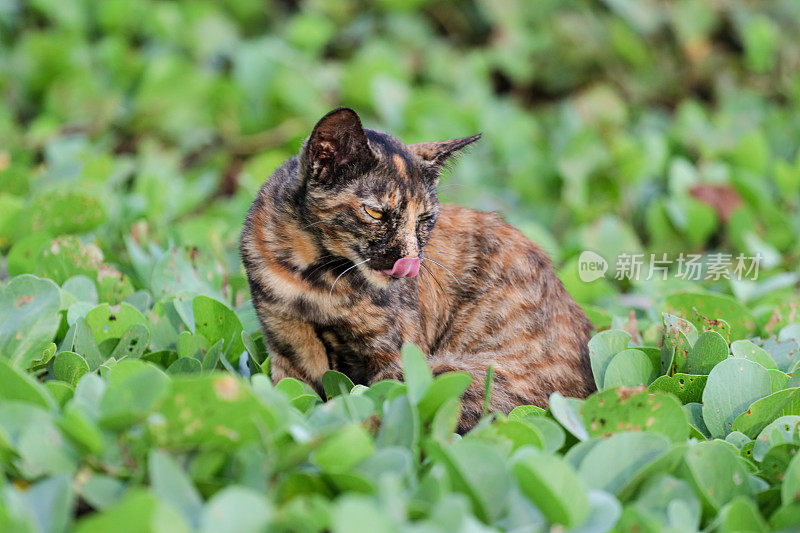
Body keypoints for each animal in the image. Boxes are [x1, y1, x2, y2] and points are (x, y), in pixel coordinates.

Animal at [238, 107, 592, 428]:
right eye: (375, 213)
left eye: (424, 218)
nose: (409, 263)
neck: (312, 277)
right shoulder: (289, 351)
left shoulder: (396, 358)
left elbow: (379, 408)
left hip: (452, 375)